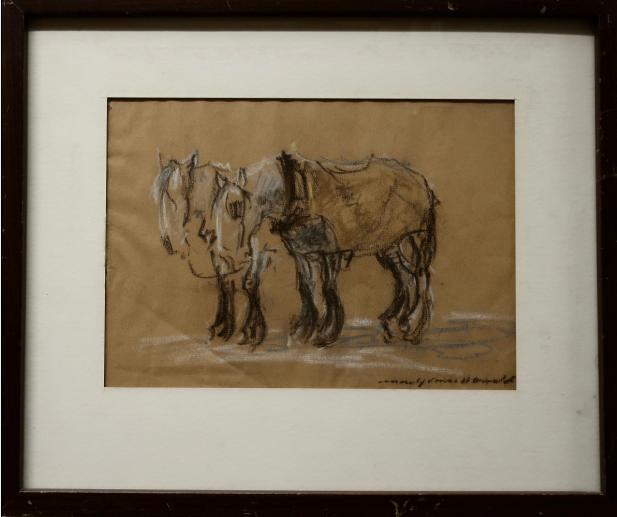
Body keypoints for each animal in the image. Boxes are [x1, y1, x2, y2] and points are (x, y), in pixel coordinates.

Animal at [207, 150, 438, 348]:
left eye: (235, 207)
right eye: (215, 207)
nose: (221, 254)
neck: (296, 191)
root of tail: (423, 183)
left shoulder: (329, 252)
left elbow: (328, 288)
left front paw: (326, 334)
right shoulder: (302, 253)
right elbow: (307, 288)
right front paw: (303, 331)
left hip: (413, 238)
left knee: (421, 278)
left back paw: (416, 329)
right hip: (390, 245)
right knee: (405, 278)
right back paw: (394, 322)